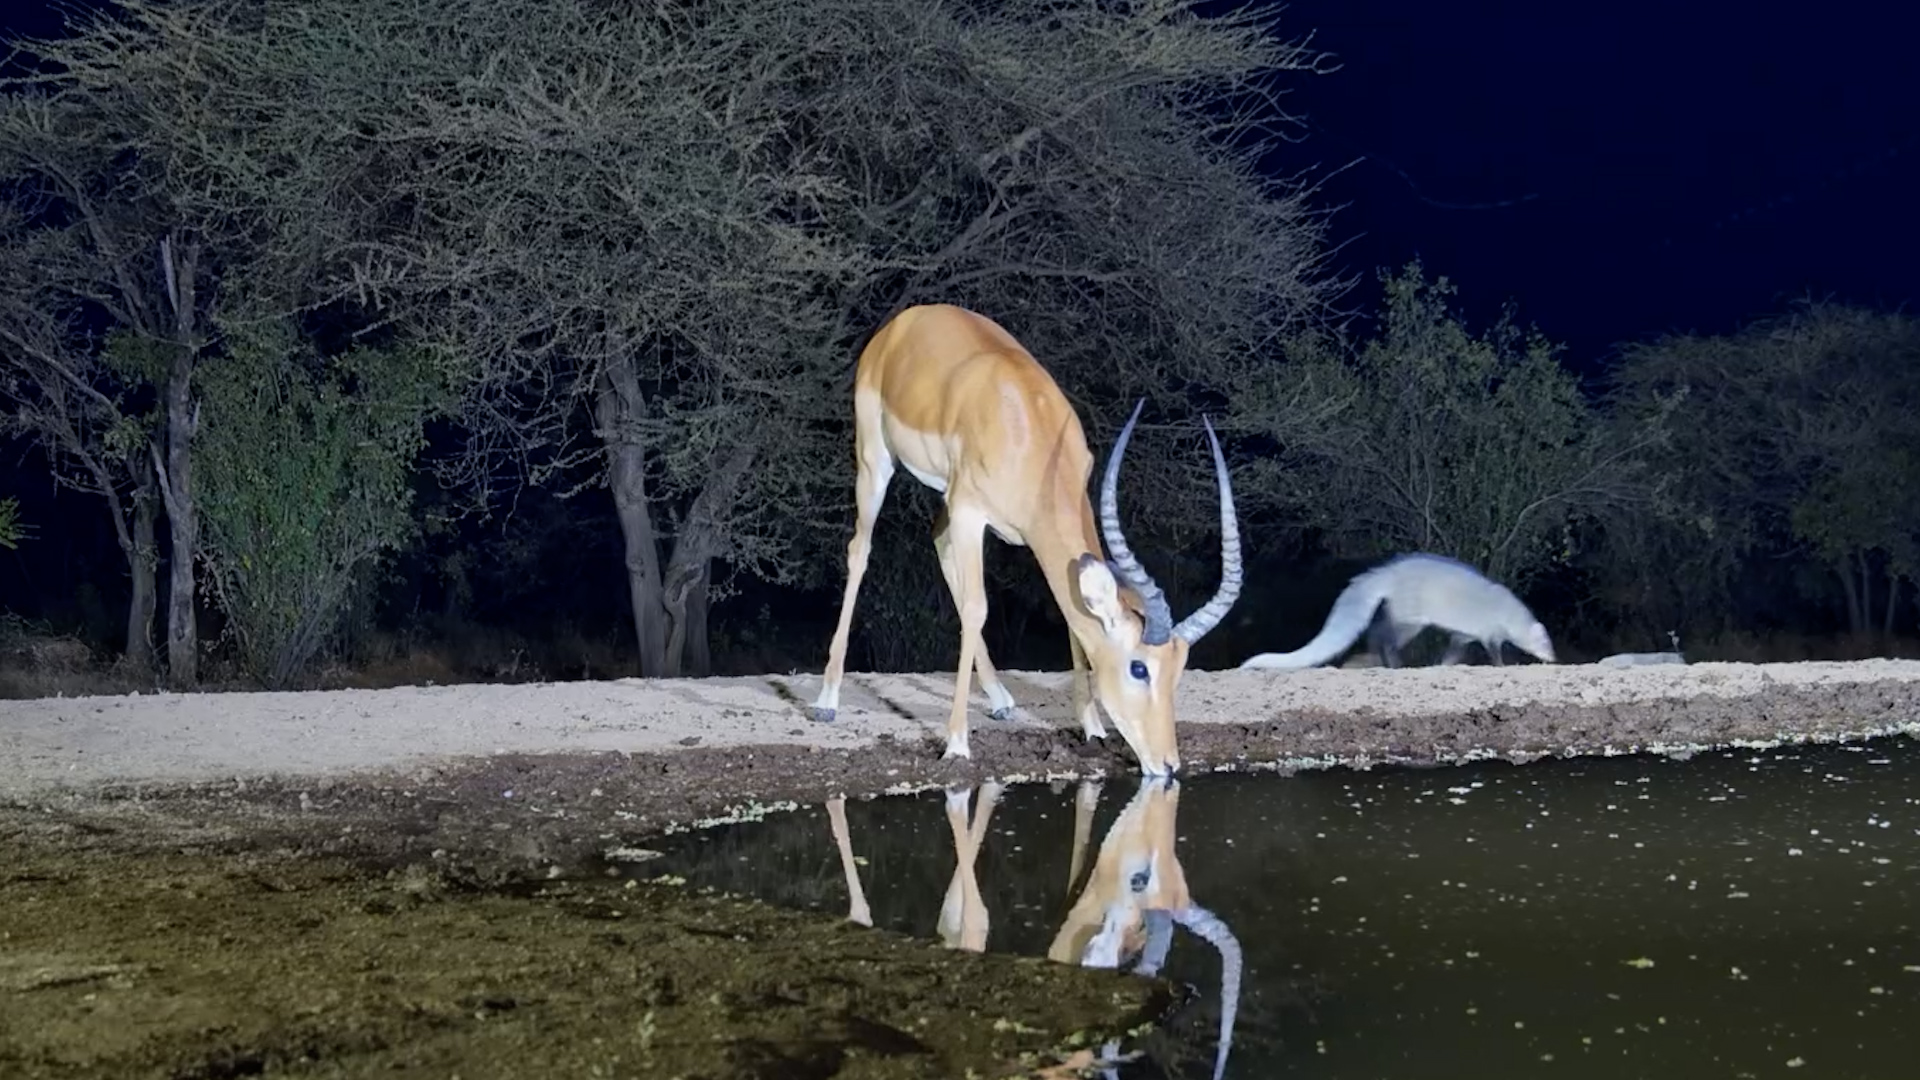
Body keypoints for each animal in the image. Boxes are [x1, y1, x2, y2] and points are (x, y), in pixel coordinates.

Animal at [808, 304, 1243, 776]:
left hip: (944, 497)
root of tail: (906, 320)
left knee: (937, 542)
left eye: (1179, 670)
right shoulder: (970, 512)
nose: (1168, 765)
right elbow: (977, 608)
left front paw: (1092, 728)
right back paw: (827, 700)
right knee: (860, 550)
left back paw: (1001, 699)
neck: (1027, 430)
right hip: (876, 462)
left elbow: (1068, 616)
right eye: (1139, 668)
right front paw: (956, 744)